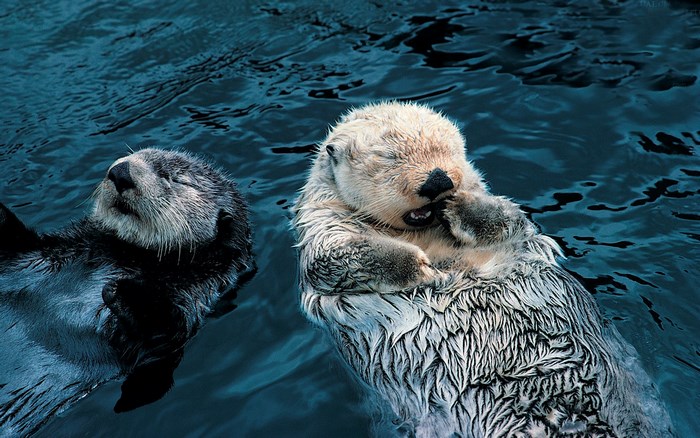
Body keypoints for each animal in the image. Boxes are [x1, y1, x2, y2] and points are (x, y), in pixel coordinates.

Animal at [0, 148, 254, 436]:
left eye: (175, 178)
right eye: (134, 154)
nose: (121, 172)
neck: (126, 254)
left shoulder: (192, 298)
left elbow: (164, 330)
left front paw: (121, 290)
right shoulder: (40, 252)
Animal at [294, 102, 674, 437]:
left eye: (448, 149)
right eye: (389, 157)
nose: (438, 181)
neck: (423, 234)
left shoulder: (516, 230)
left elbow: (508, 219)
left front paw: (459, 206)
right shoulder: (323, 230)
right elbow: (333, 259)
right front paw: (423, 268)